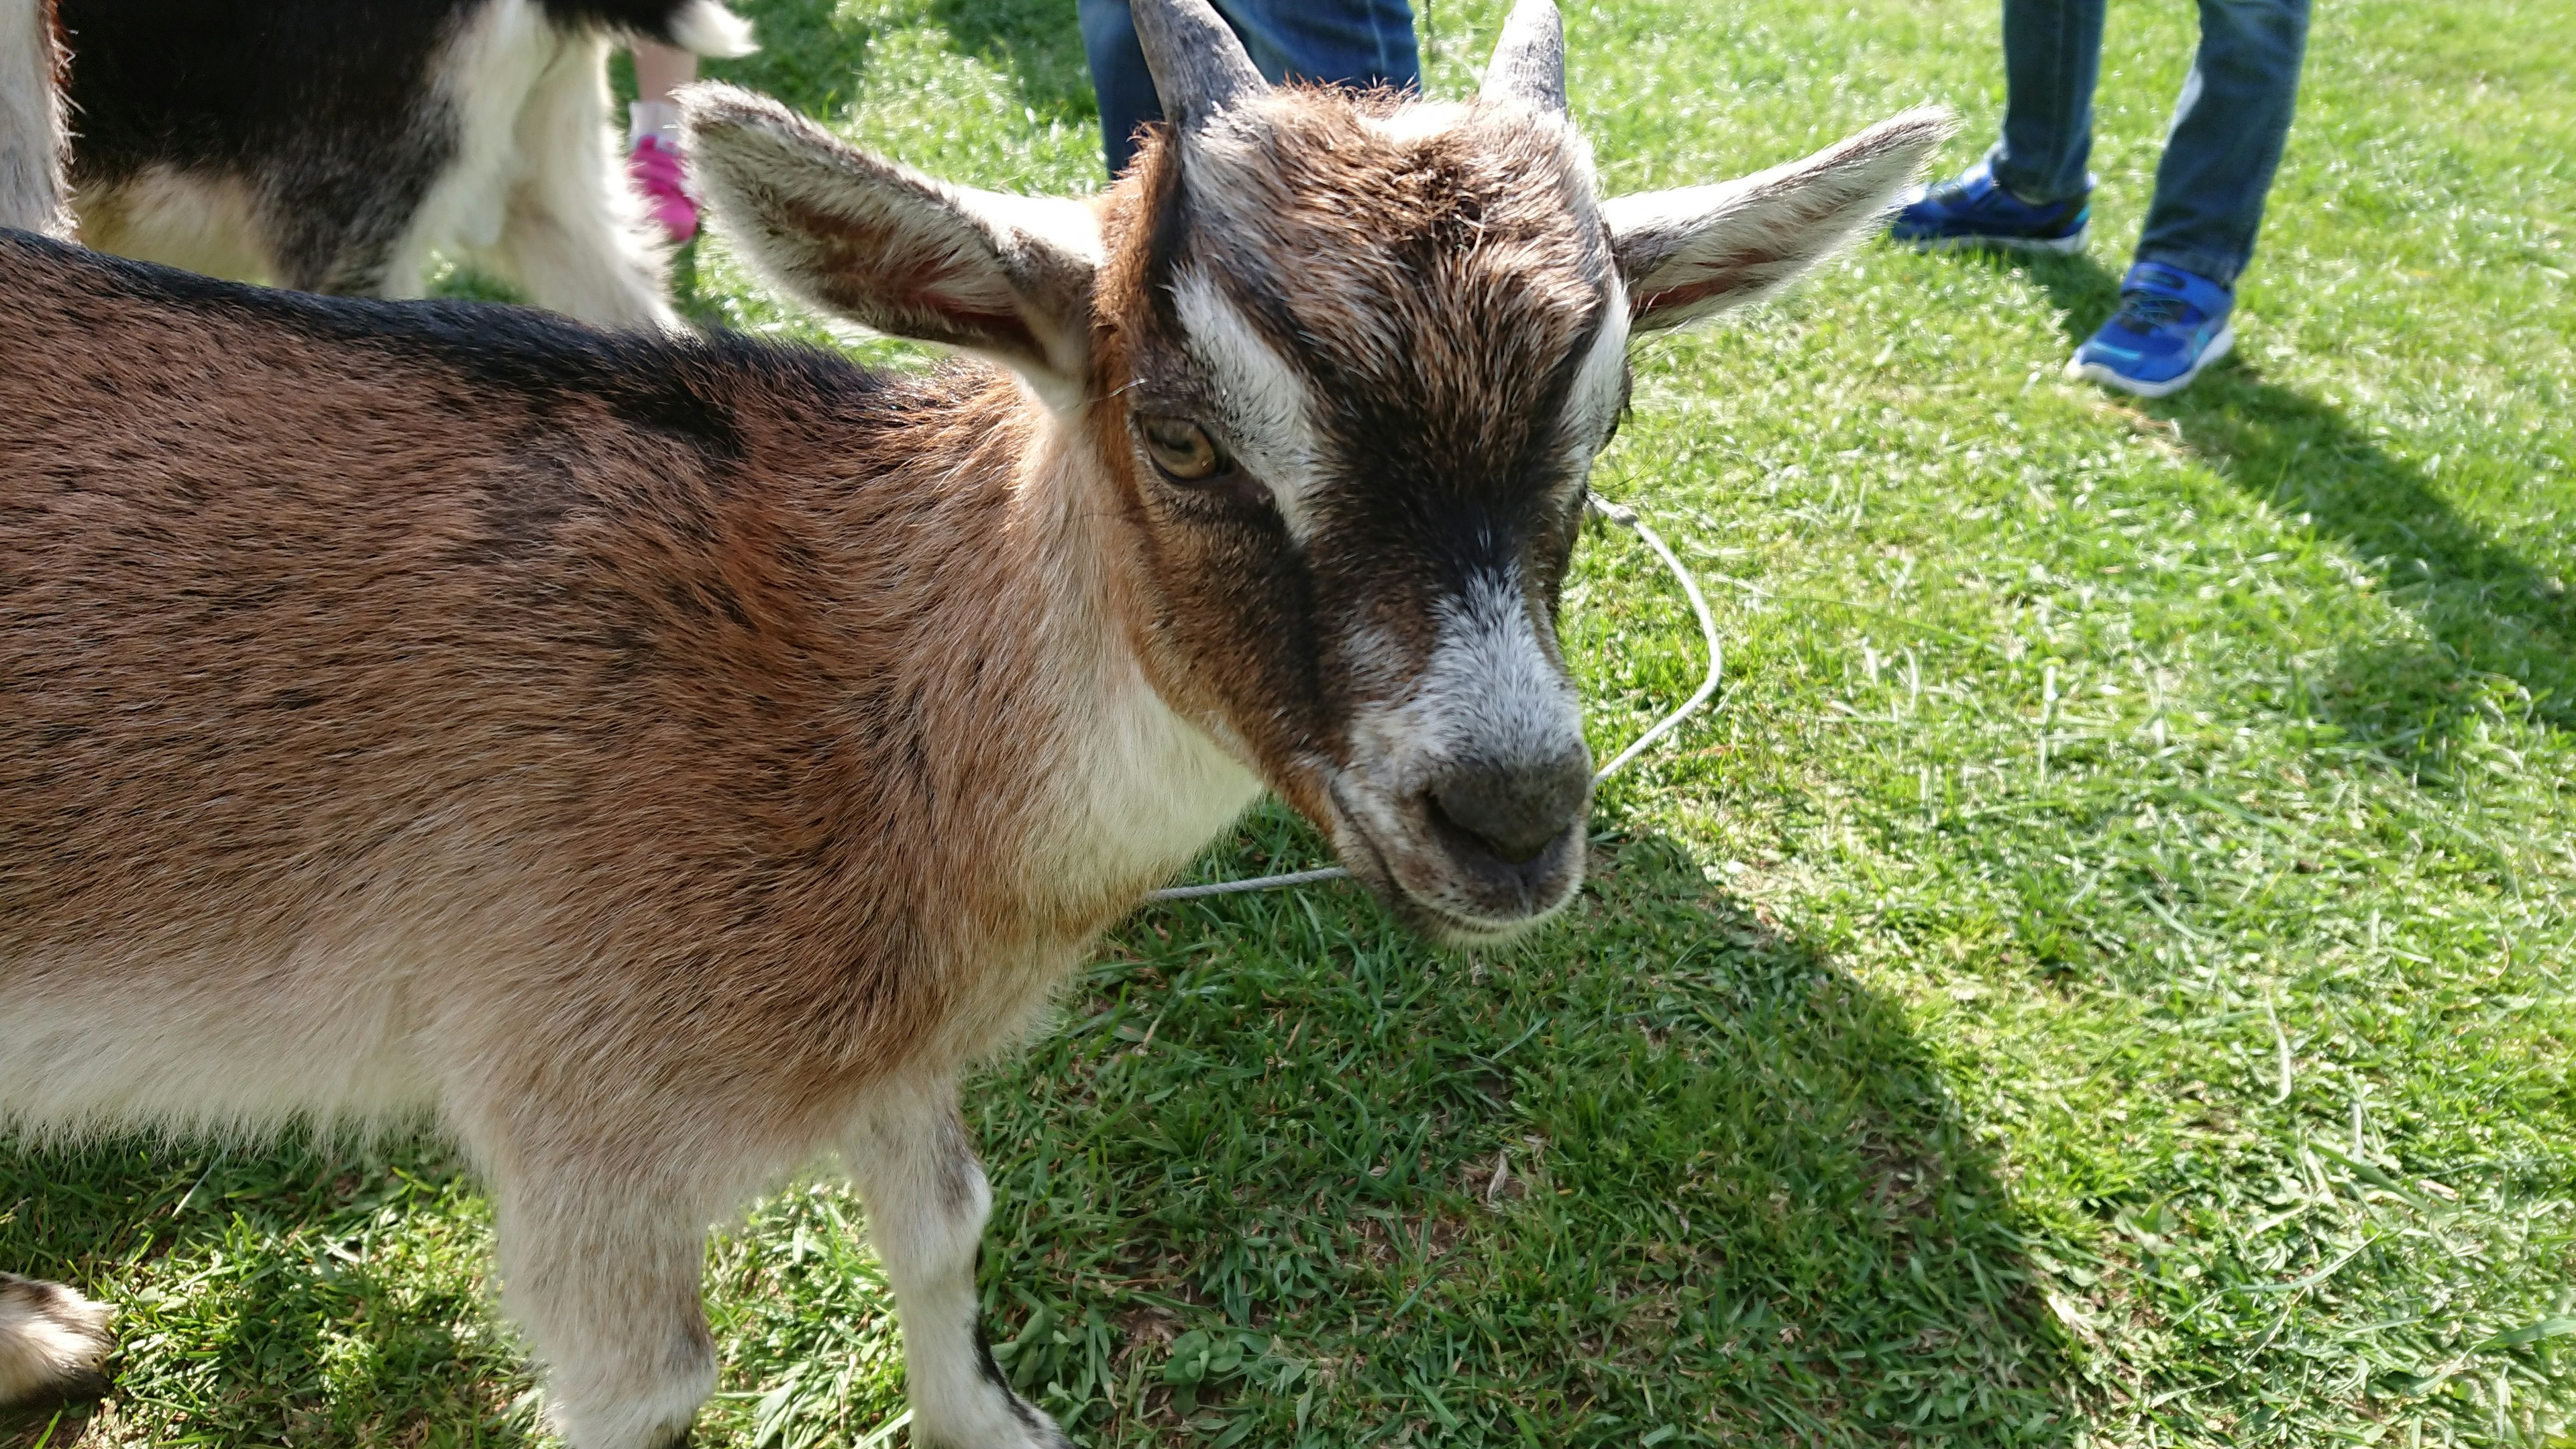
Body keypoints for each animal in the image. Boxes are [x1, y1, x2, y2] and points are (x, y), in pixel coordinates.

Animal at [0, 5, 1937, 1433]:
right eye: (1183, 438)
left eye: (1602, 428)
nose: (1514, 815)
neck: (838, 686)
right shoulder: (571, 1117)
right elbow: (655, 1385)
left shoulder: (897, 1043)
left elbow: (944, 1228)